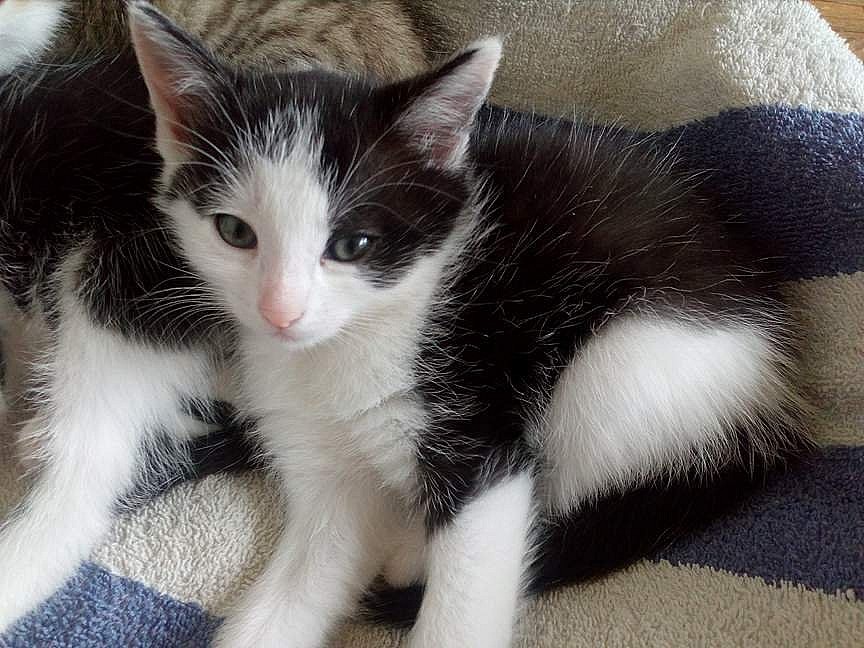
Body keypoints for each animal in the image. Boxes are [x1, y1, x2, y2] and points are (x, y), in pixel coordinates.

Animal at [0, 2, 807, 644]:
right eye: (234, 232)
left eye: (352, 245)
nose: (281, 311)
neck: (344, 351)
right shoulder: (324, 473)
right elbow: (304, 578)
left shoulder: (479, 433)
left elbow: (474, 573)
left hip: (631, 363)